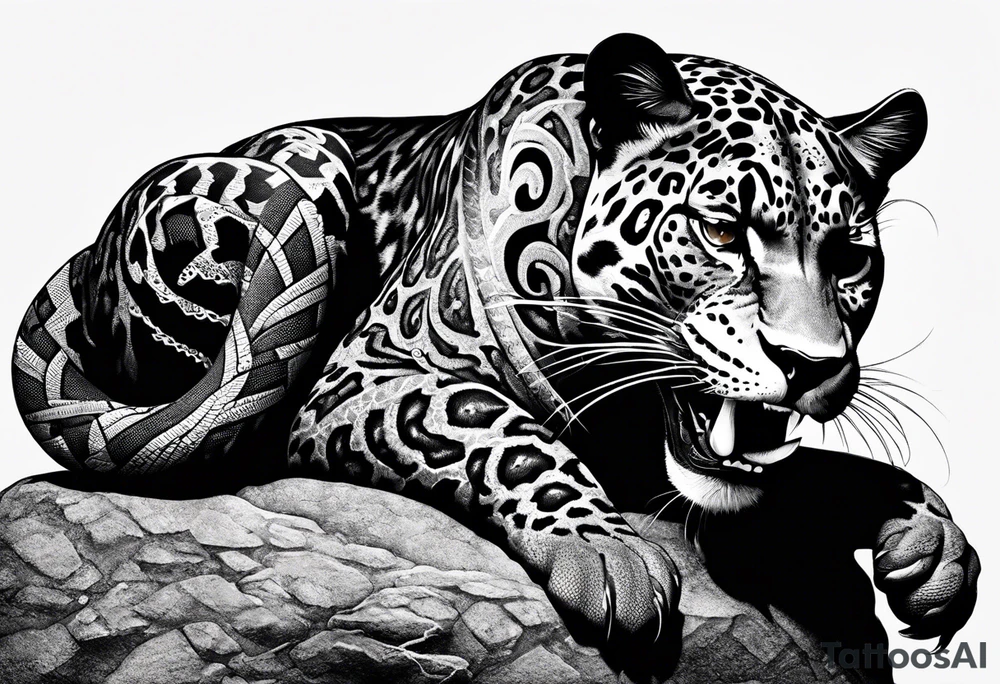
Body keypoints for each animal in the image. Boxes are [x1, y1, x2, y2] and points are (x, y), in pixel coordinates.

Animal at [13, 32, 978, 672]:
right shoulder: (363, 374)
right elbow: (500, 426)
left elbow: (800, 470)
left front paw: (929, 540)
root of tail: (88, 256)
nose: (812, 364)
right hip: (293, 170)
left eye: (849, 260)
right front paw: (606, 554)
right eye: (724, 230)